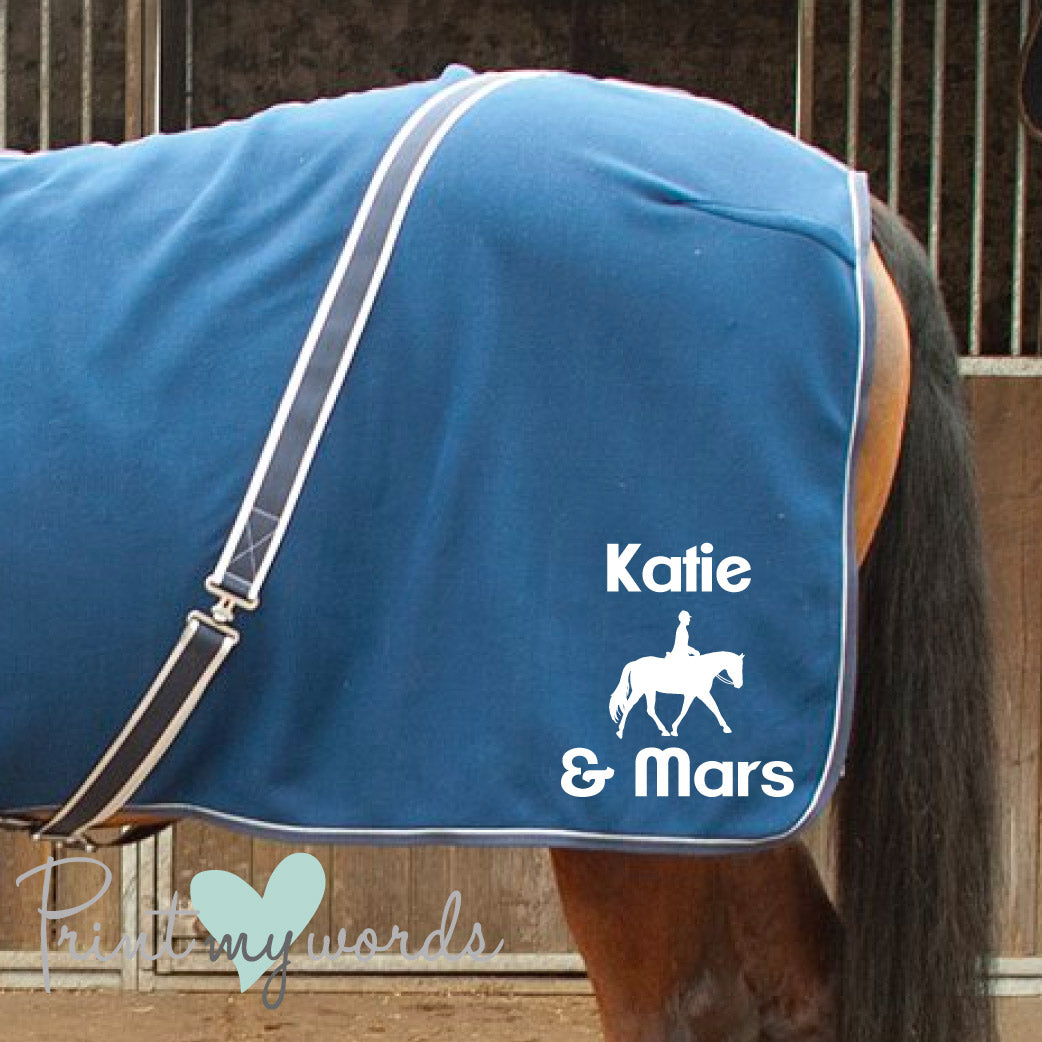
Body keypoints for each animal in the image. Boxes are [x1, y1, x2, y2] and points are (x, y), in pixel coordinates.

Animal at [608, 650, 744, 738]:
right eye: (737, 667)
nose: (739, 685)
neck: (703, 669)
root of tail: (635, 663)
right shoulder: (699, 693)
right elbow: (691, 710)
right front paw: (674, 729)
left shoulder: (697, 694)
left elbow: (711, 708)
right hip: (639, 690)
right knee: (628, 707)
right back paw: (620, 732)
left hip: (649, 691)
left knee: (650, 710)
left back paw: (664, 731)